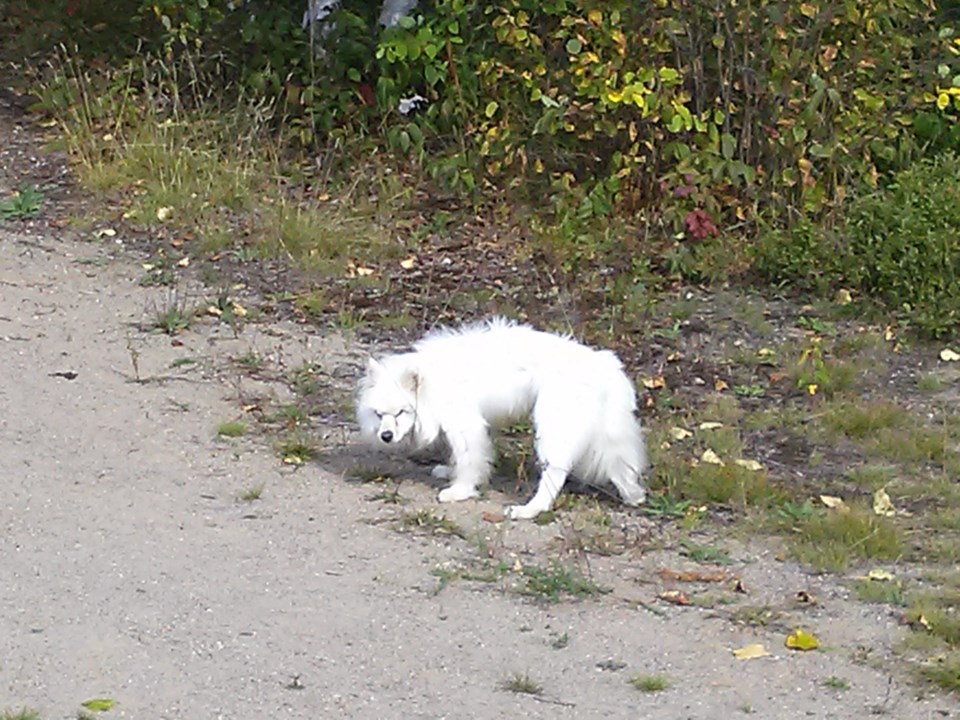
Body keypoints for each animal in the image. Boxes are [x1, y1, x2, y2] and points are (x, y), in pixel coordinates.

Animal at [356, 318, 648, 520]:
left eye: (401, 412)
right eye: (379, 414)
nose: (386, 436)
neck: (430, 381)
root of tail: (602, 365)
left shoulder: (465, 424)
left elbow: (469, 459)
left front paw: (460, 490)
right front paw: (449, 472)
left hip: (553, 426)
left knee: (555, 473)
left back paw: (529, 510)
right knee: (621, 464)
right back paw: (634, 496)